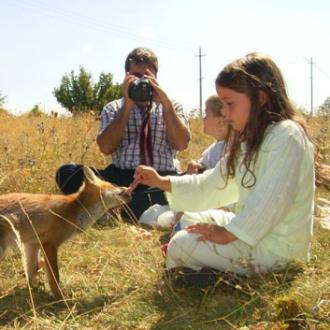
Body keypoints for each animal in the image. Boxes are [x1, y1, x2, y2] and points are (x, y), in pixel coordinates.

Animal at [0, 166, 131, 298]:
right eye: (113, 185)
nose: (128, 188)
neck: (74, 210)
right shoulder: (50, 244)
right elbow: (54, 277)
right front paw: (59, 296)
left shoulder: (33, 244)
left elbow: (31, 271)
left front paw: (34, 290)